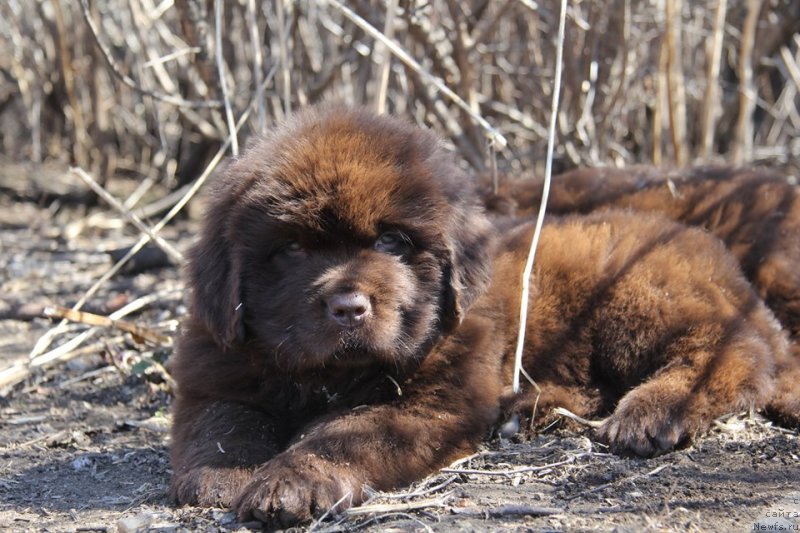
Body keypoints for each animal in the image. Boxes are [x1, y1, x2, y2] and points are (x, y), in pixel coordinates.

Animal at [170, 106, 800, 524]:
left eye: (393, 243)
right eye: (293, 250)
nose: (348, 307)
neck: (330, 377)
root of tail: (711, 252)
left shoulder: (430, 403)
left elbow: (344, 433)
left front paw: (288, 484)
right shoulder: (218, 369)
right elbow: (222, 424)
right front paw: (224, 478)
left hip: (638, 301)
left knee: (733, 353)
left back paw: (650, 413)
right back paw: (532, 408)